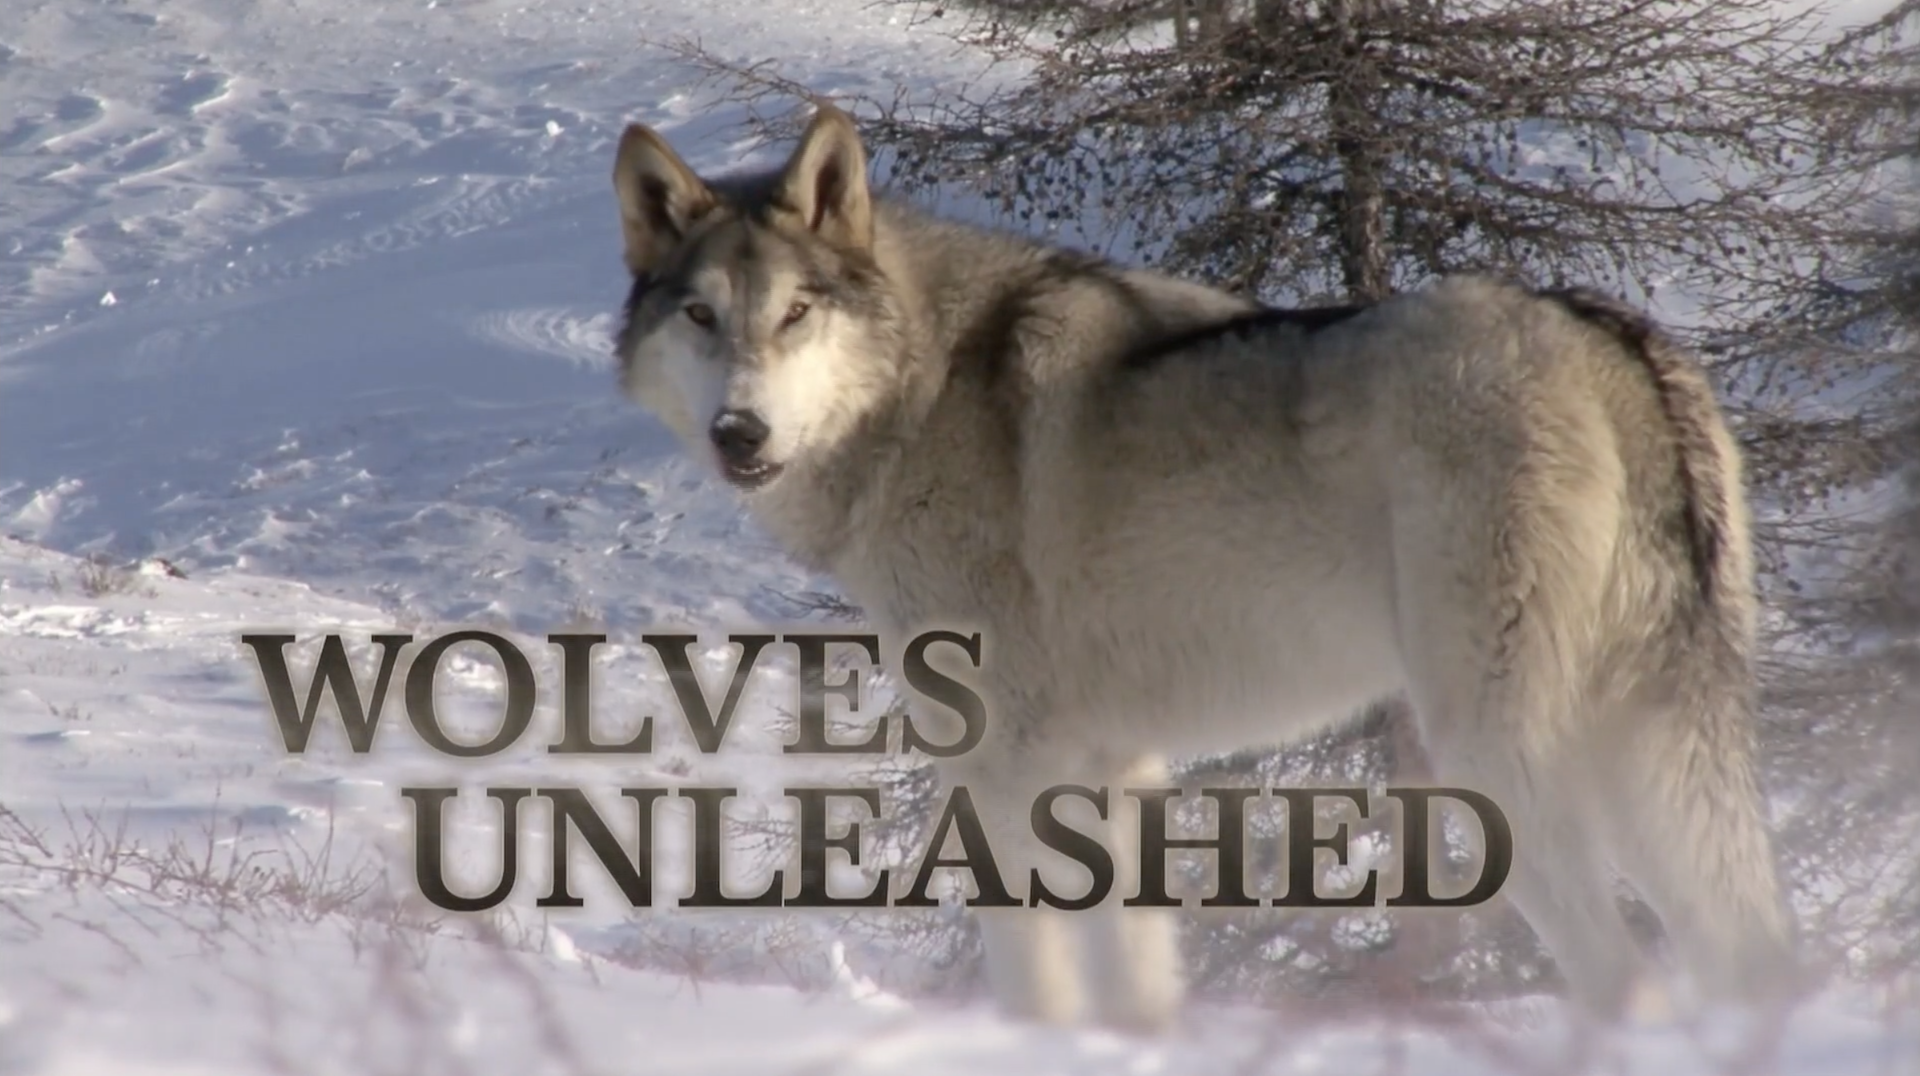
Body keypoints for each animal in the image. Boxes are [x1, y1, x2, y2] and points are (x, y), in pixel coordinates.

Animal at [606, 99, 1802, 1033]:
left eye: (797, 313)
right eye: (702, 314)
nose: (740, 433)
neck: (922, 392)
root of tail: (1610, 338)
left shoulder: (1005, 757)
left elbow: (1034, 976)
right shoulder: (1113, 761)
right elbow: (1136, 980)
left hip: (1500, 750)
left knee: (1629, 979)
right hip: (1658, 751)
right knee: (1748, 952)